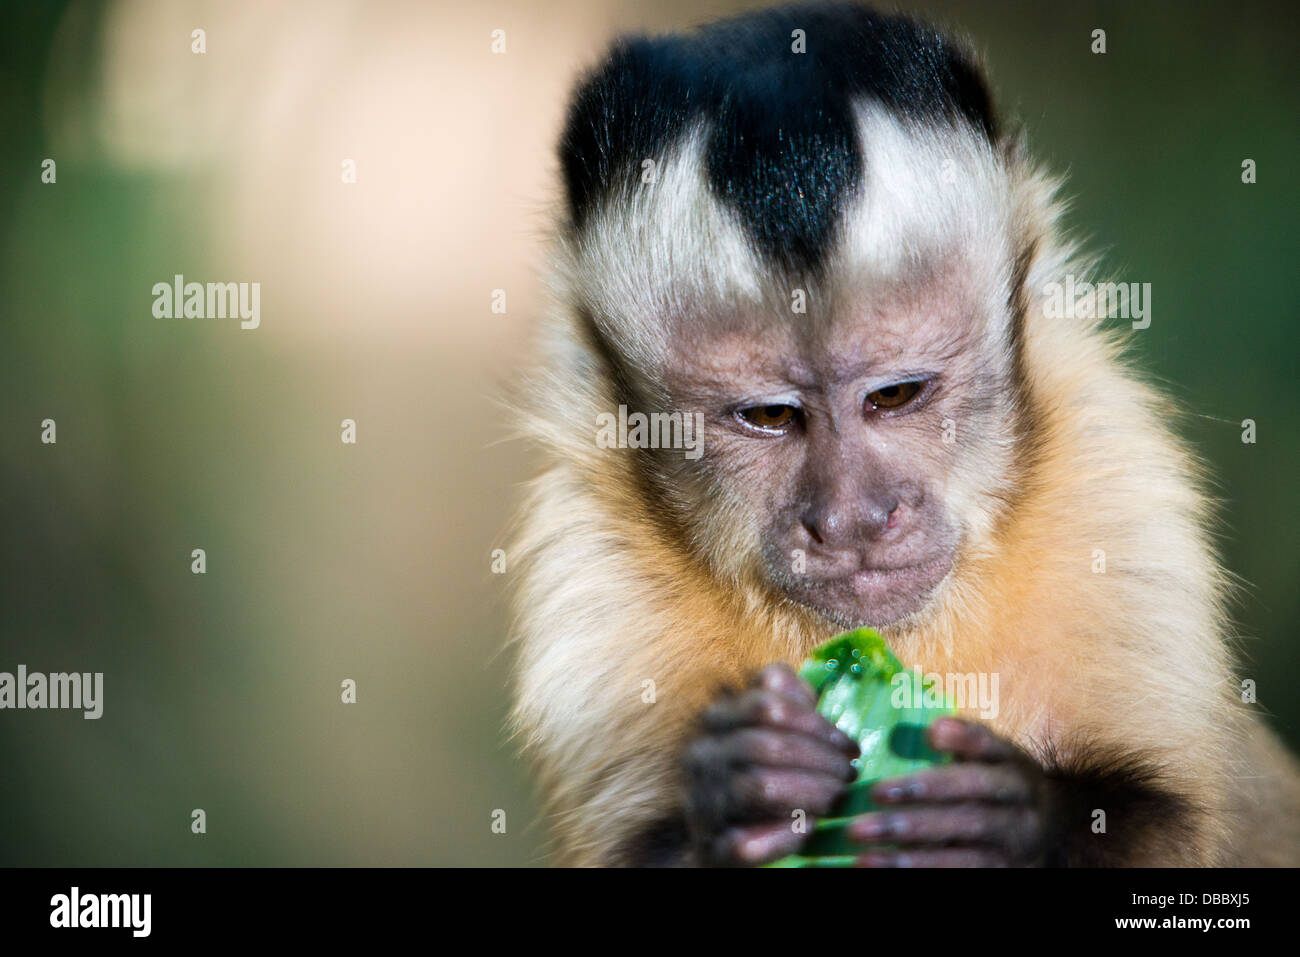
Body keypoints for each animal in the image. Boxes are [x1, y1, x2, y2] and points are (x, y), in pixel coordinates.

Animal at [504, 1, 1300, 868]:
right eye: (770, 416)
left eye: (895, 395)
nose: (852, 520)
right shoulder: (589, 558)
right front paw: (743, 785)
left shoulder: (1111, 464)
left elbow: (1179, 824)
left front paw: (1006, 822)